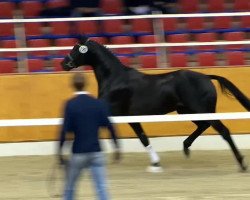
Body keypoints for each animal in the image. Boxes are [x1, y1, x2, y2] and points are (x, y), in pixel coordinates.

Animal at [61, 36, 249, 171]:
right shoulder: (127, 117)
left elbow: (137, 138)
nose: (63, 63)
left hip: (201, 110)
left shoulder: (117, 114)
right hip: (187, 111)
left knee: (223, 131)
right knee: (203, 126)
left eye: (77, 49)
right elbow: (138, 137)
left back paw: (241, 163)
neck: (115, 79)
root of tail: (206, 77)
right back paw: (186, 147)